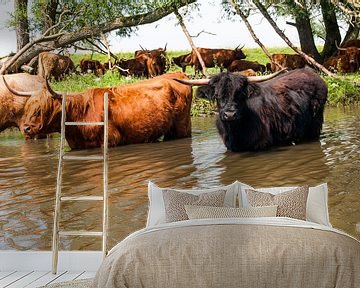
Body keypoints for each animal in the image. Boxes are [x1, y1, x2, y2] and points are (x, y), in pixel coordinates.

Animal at [4, 72, 191, 150]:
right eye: (28, 109)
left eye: (41, 110)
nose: (26, 128)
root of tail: (177, 74)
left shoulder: (110, 140)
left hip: (181, 126)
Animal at [176, 67, 328, 152]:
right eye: (217, 96)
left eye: (239, 94)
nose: (230, 114)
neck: (235, 131)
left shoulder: (261, 144)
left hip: (315, 126)